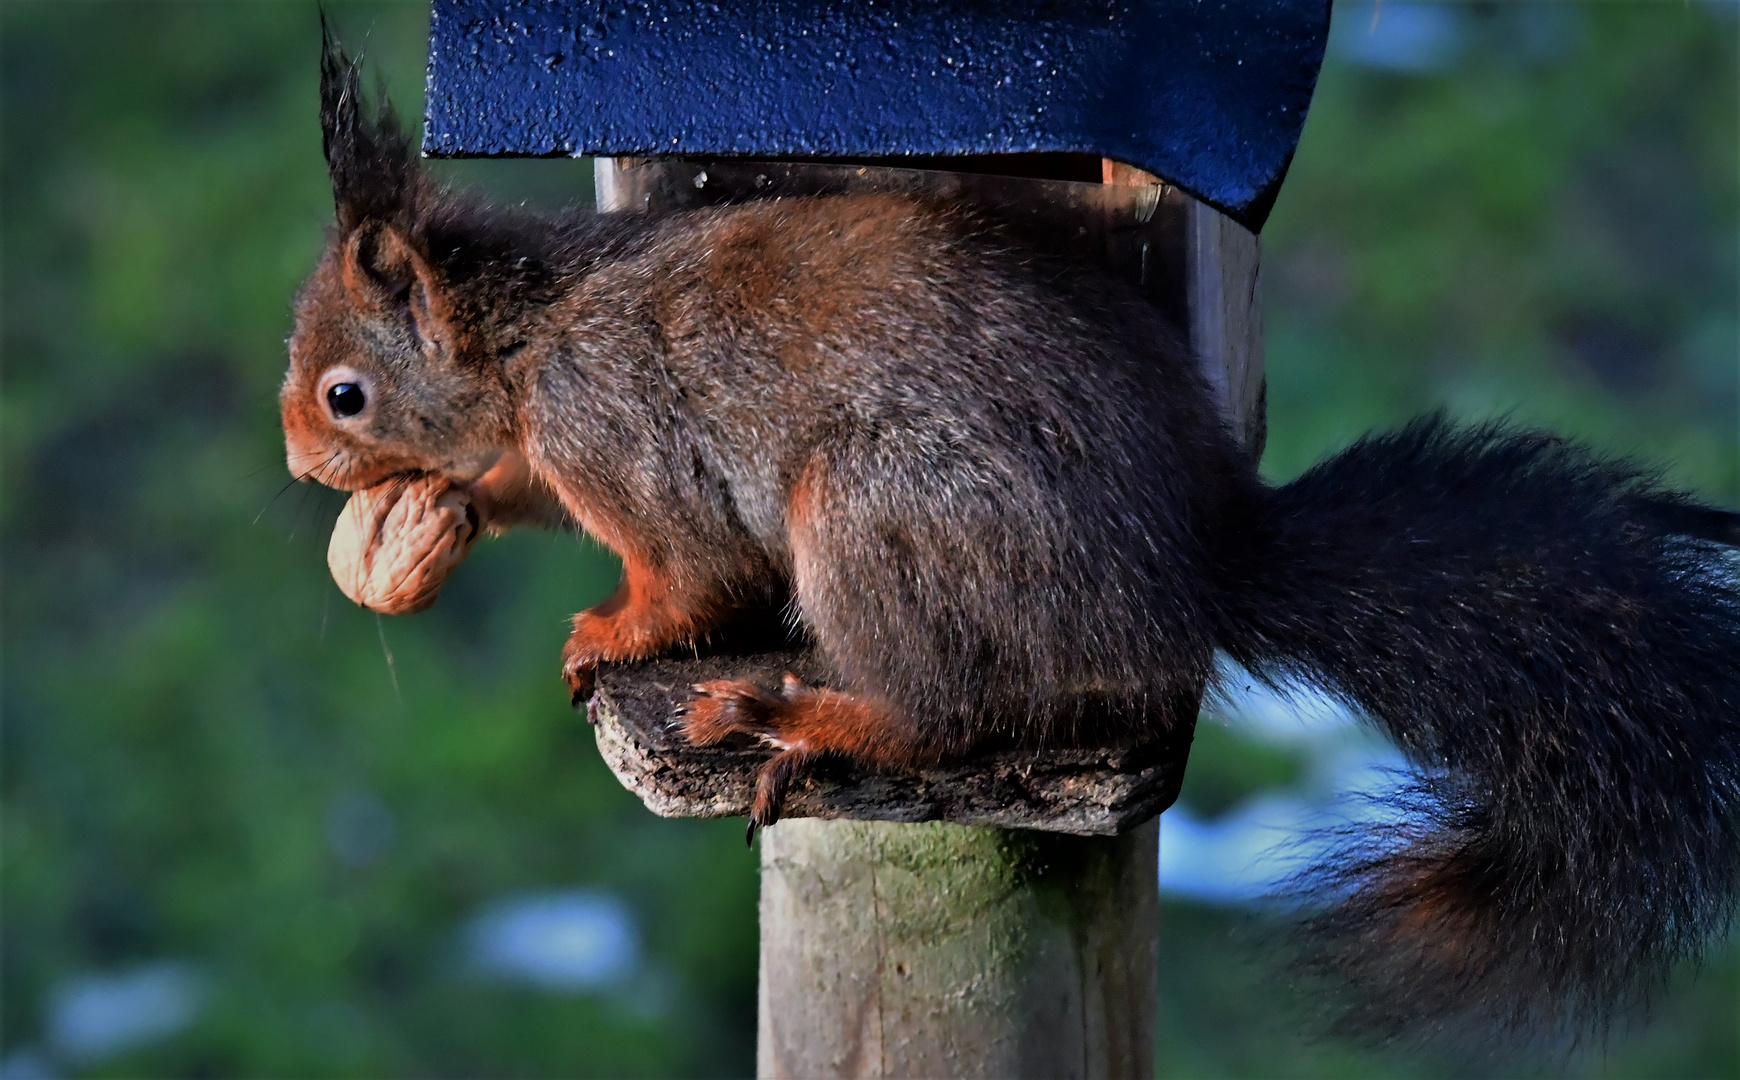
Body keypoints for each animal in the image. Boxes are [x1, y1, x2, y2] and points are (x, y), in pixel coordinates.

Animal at [285, 40, 1740, 1036]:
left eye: (345, 392)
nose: (302, 462)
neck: (528, 340)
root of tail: (1186, 571)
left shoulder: (622, 436)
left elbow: (695, 578)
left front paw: (608, 634)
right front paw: (459, 511)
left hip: (879, 518)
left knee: (949, 708)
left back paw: (809, 717)